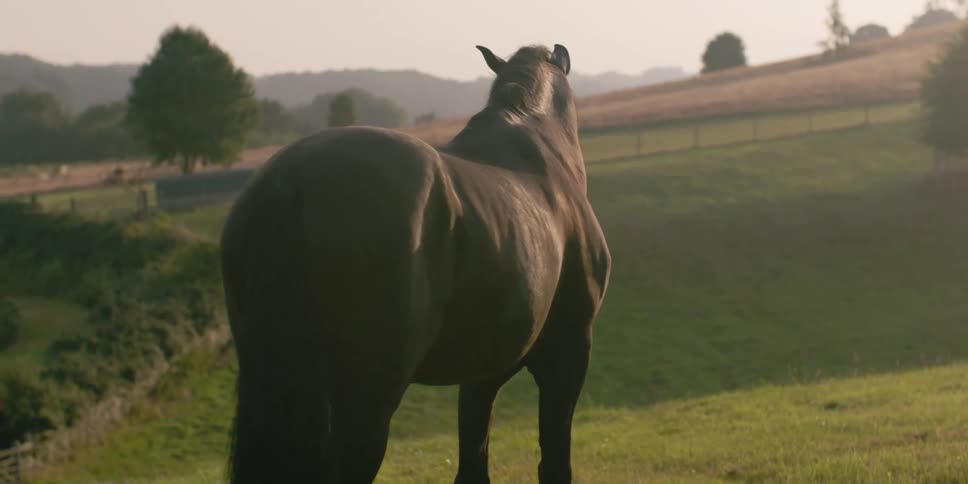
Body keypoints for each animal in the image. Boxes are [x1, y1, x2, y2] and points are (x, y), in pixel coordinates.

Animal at [219, 43, 612, 484]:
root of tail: (292, 180)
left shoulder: (482, 370)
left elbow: (473, 458)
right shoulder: (569, 349)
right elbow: (554, 458)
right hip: (367, 400)